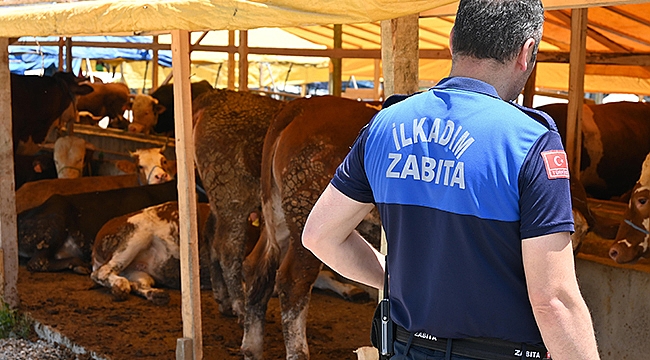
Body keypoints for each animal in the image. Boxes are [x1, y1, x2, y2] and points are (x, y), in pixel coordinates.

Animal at [93, 201, 372, 306]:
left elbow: (325, 277)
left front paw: (353, 290)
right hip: (134, 236)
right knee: (102, 274)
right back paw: (119, 287)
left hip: (142, 270)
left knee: (138, 282)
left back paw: (155, 294)